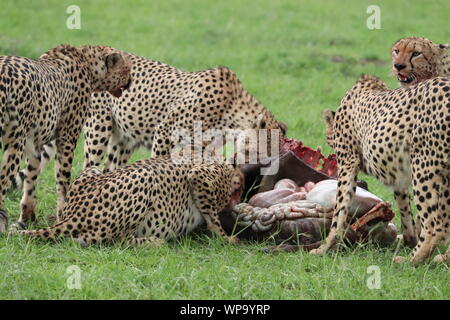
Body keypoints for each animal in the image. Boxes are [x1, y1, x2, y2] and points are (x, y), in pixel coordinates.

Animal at [0, 44, 131, 230]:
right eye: (127, 69)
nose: (130, 81)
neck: (86, 61)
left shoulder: (35, 142)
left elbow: (31, 177)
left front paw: (26, 219)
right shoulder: (67, 137)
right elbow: (62, 179)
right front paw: (62, 215)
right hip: (15, 143)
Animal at [17, 157, 244, 245]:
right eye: (239, 189)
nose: (238, 200)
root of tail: (74, 213)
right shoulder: (200, 176)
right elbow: (213, 218)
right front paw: (227, 238)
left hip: (93, 170)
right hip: (145, 176)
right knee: (116, 240)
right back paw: (155, 241)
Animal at [312, 75, 450, 264]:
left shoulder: (348, 162)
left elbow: (339, 211)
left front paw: (324, 247)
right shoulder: (399, 175)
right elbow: (405, 210)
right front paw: (409, 240)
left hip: (423, 166)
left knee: (435, 225)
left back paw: (410, 261)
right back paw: (441, 258)